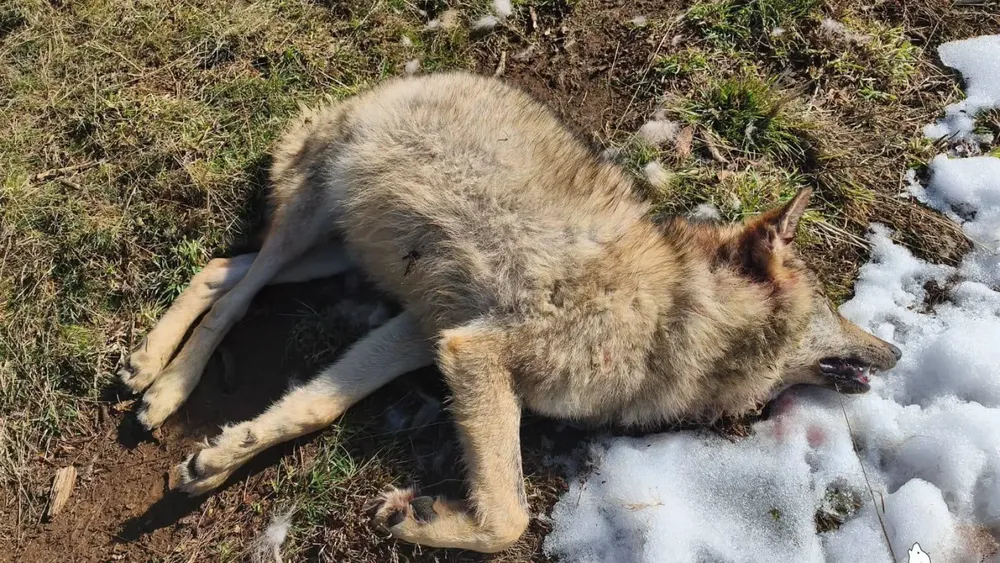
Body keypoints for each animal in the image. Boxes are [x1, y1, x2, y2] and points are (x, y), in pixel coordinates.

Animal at [118, 71, 901, 552]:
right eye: (833, 309)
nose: (896, 353)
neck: (670, 316)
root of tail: (407, 80)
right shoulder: (475, 353)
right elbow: (509, 517)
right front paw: (417, 520)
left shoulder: (428, 332)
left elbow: (312, 407)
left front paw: (219, 458)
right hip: (311, 224)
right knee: (239, 290)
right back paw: (163, 387)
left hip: (337, 254)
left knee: (220, 271)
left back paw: (153, 373)